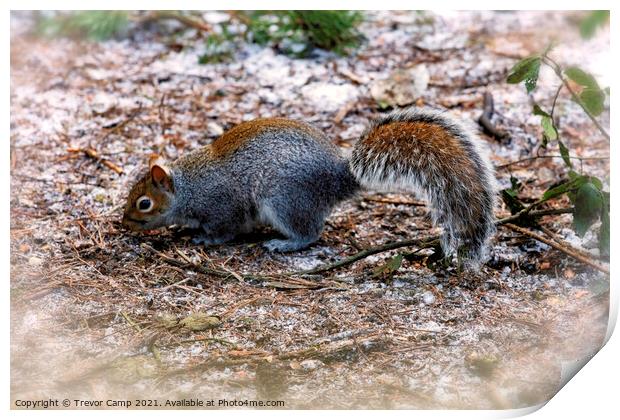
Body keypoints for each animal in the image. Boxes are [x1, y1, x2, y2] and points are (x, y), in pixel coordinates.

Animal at [123, 106, 496, 260]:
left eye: (144, 203)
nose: (124, 223)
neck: (188, 188)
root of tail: (337, 176)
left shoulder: (220, 205)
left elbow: (224, 230)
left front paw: (204, 239)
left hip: (284, 200)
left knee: (310, 232)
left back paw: (284, 244)